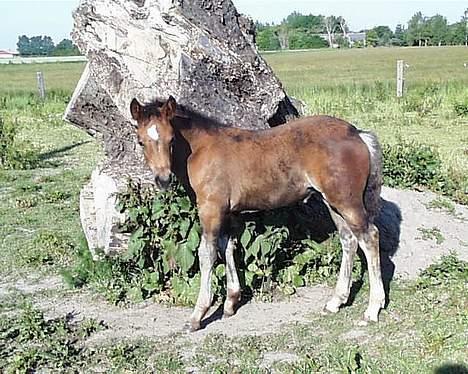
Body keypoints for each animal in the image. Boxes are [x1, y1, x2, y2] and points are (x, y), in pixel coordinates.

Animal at [129, 95, 384, 332]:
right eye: (141, 142)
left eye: (171, 139)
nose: (163, 179)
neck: (201, 150)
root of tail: (356, 133)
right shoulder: (228, 212)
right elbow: (227, 247)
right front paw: (231, 303)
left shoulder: (210, 210)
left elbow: (207, 254)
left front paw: (197, 316)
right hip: (332, 203)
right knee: (349, 240)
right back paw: (335, 302)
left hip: (347, 202)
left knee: (369, 237)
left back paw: (372, 309)